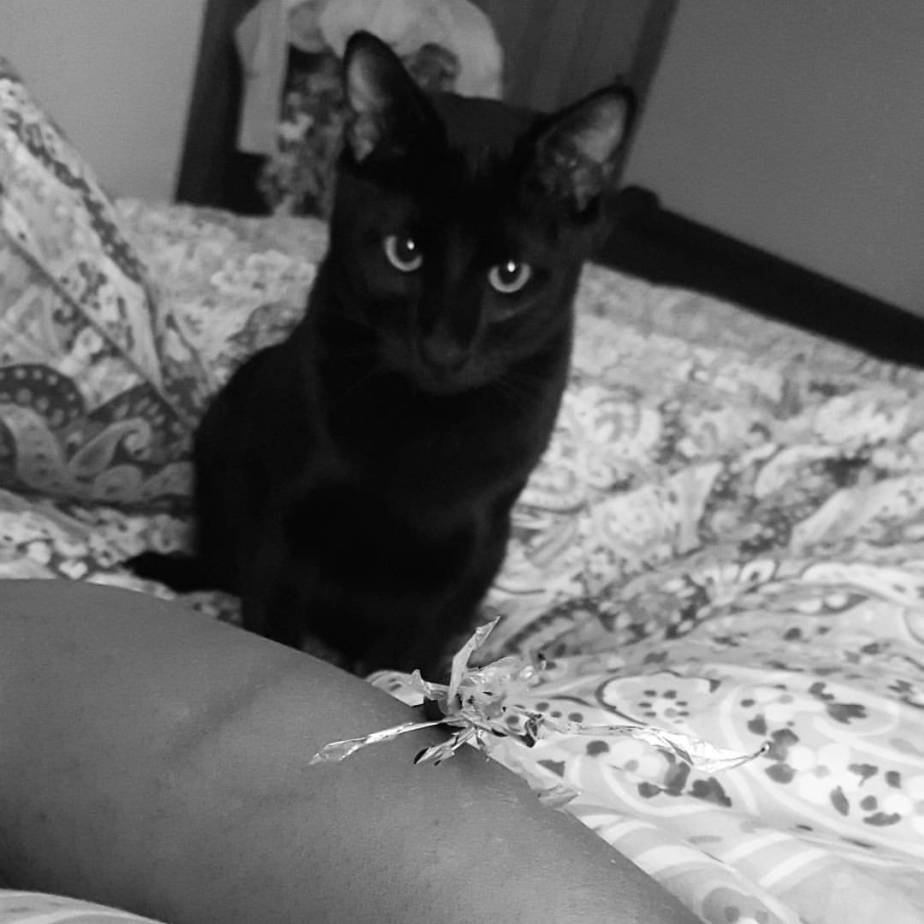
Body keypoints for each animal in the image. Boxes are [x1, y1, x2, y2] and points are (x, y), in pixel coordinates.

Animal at [129, 31, 631, 675]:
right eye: (404, 252)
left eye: (510, 275)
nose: (442, 349)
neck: (420, 429)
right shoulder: (286, 522)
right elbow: (274, 632)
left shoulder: (467, 553)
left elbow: (406, 659)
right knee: (220, 562)